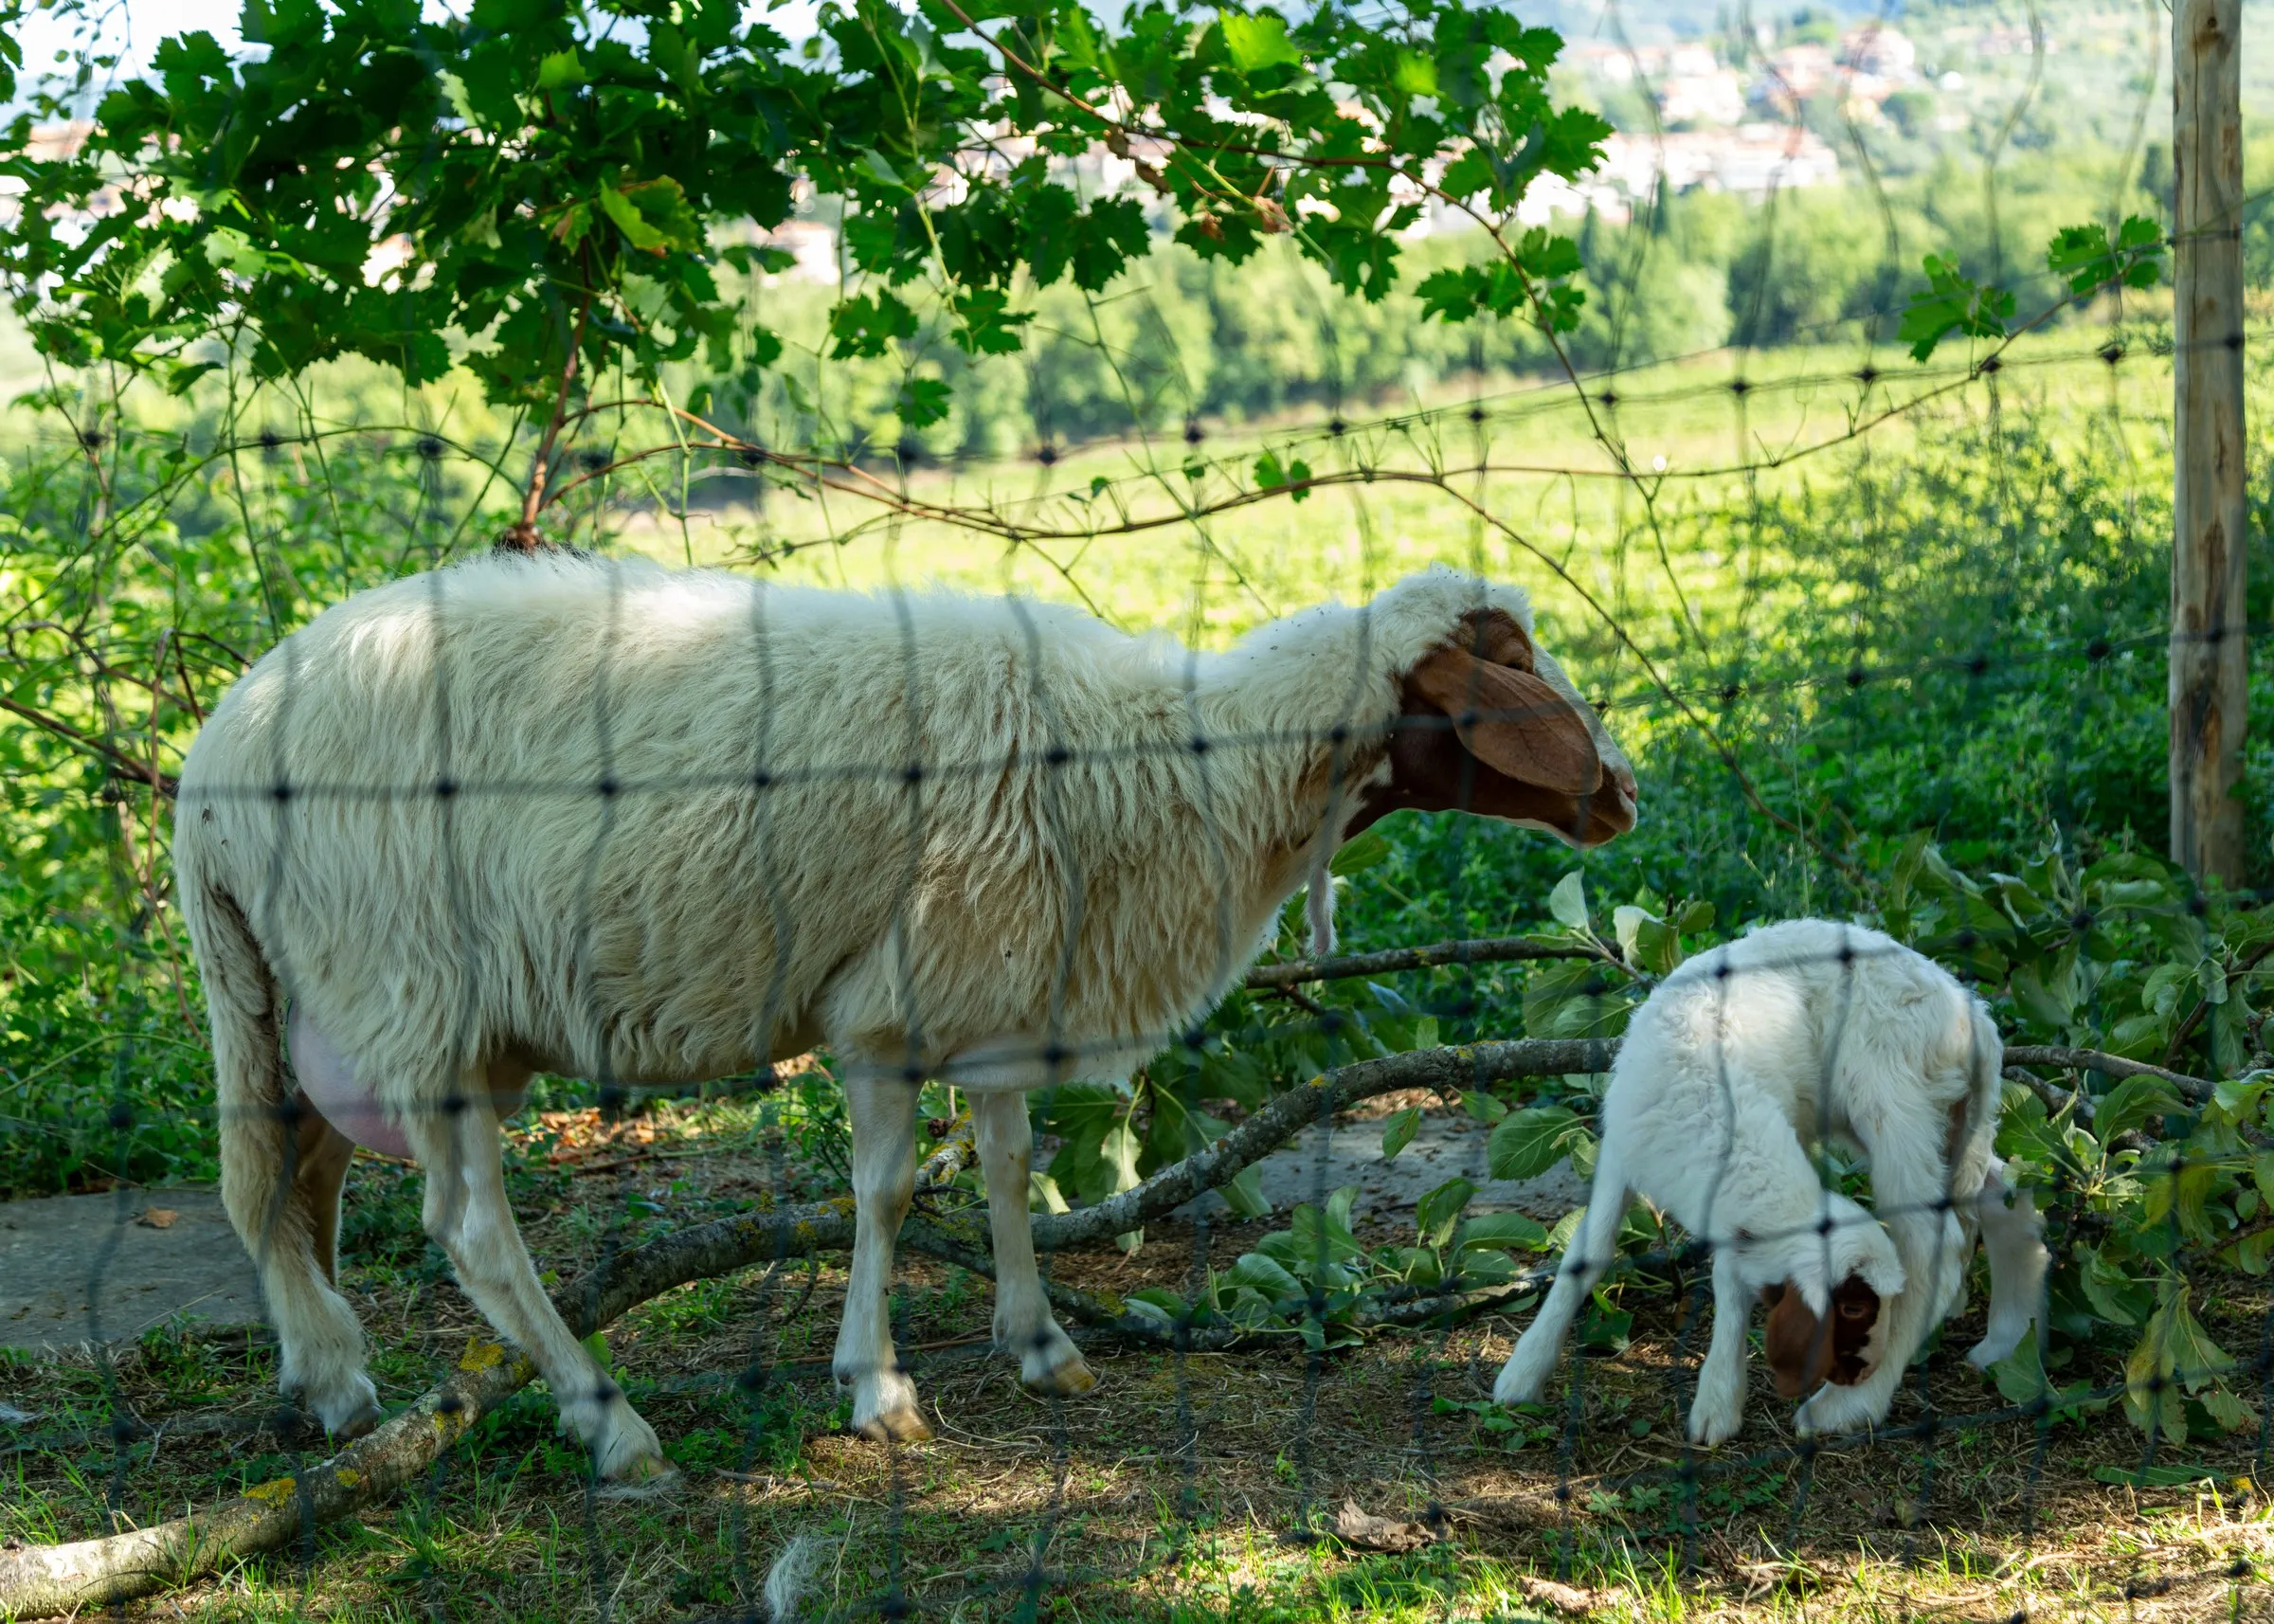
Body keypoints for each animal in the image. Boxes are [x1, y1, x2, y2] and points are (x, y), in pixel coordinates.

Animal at [173, 554, 1638, 1478]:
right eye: (1507, 666)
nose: (1623, 794)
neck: (1168, 764)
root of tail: (213, 762)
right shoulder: (888, 1004)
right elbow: (881, 1193)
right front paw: (876, 1387)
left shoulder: (997, 985)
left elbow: (1005, 1164)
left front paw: (1041, 1342)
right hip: (413, 992)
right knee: (467, 1229)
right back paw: (611, 1424)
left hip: (315, 999)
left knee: (289, 1189)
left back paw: (329, 1380)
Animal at [1492, 919, 2046, 1443]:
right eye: (1852, 1307)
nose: (1862, 1369)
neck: (1703, 1096)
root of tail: (1975, 1016)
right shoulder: (1619, 1152)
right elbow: (1587, 1256)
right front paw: (1524, 1371)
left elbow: (1729, 1277)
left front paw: (1717, 1401)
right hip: (1948, 1118)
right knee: (2004, 1195)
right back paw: (2008, 1340)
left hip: (1895, 1104)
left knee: (1933, 1248)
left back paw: (1847, 1408)